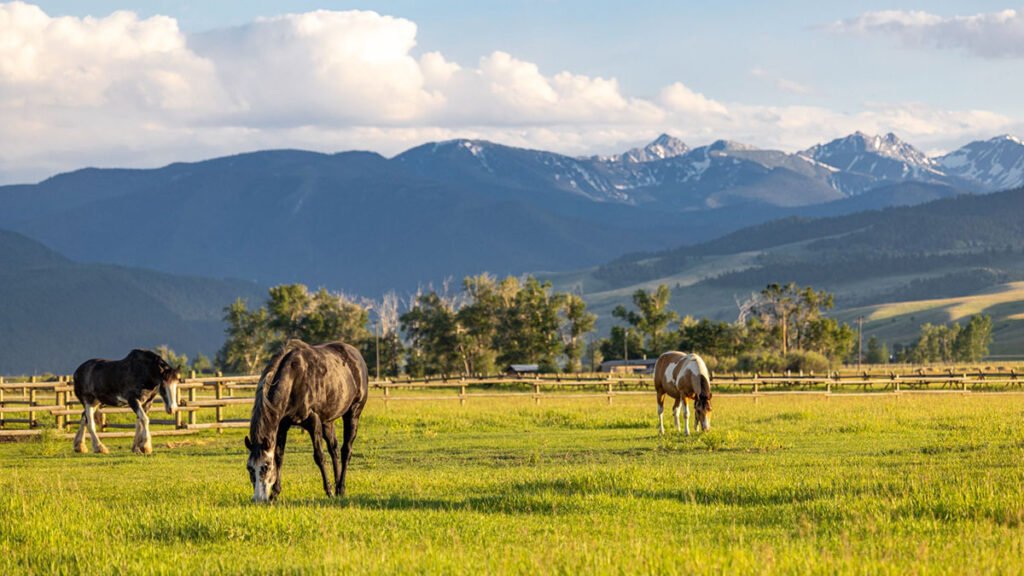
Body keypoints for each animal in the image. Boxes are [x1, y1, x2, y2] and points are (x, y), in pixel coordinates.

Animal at [245, 339, 368, 503]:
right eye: (250, 468)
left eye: (266, 466)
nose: (258, 499)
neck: (293, 379)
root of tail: (356, 355)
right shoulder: (282, 425)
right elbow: (279, 455)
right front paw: (275, 493)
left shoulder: (313, 422)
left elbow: (319, 456)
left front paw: (328, 491)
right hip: (327, 421)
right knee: (334, 450)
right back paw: (337, 487)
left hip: (353, 413)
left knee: (345, 450)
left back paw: (340, 488)